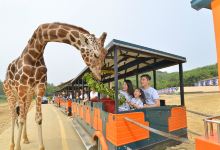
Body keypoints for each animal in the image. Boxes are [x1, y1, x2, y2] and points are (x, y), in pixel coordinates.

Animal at [3, 22, 107, 150]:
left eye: (105, 54)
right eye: (96, 55)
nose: (99, 77)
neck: (35, 54)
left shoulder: (40, 87)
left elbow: (38, 118)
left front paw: (41, 147)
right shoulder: (22, 87)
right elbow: (21, 119)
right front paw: (17, 147)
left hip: (28, 95)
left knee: (24, 114)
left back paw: (26, 139)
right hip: (11, 92)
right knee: (14, 115)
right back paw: (12, 144)